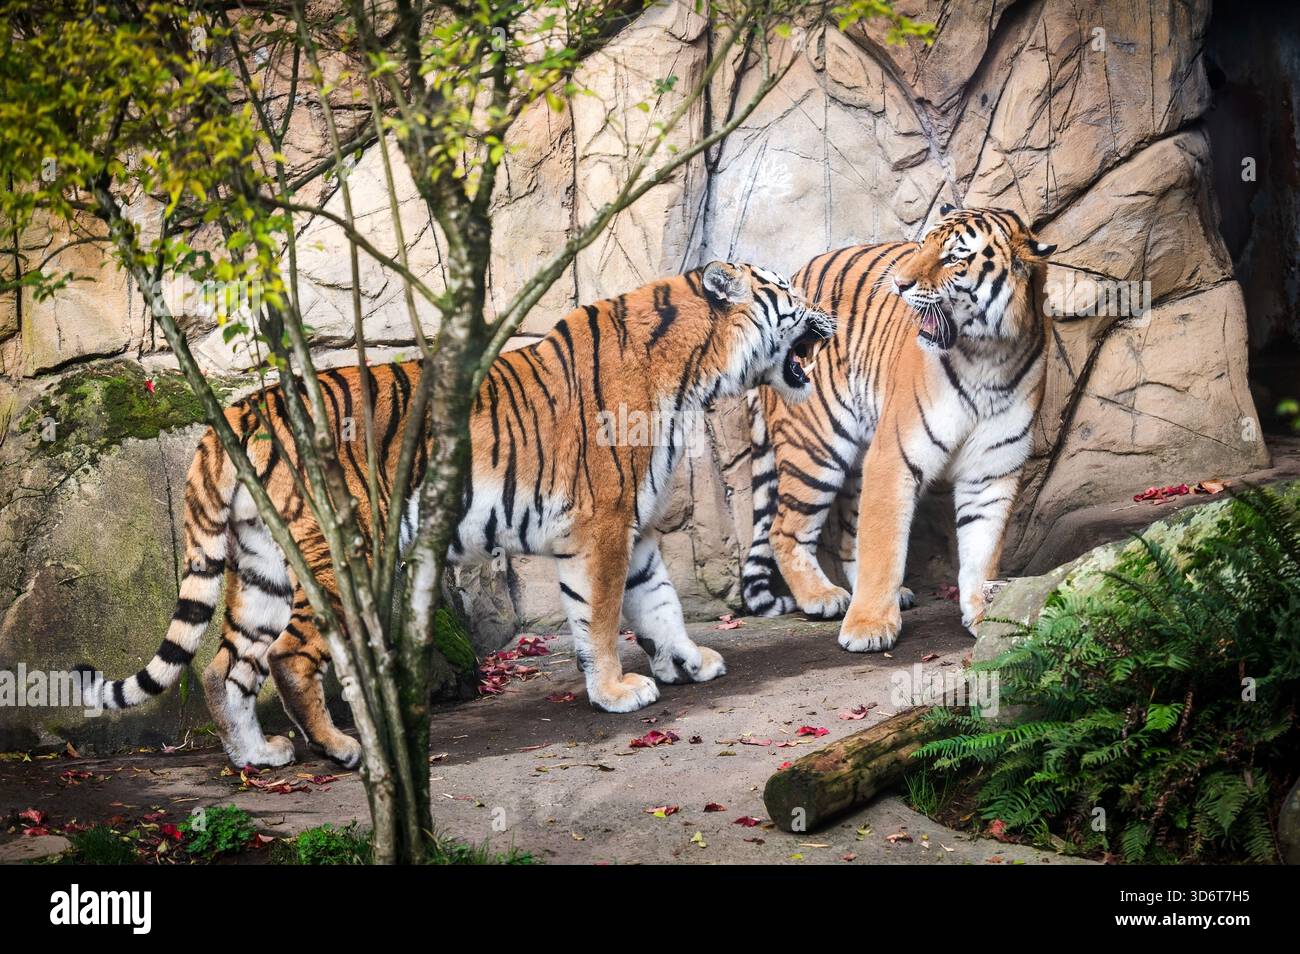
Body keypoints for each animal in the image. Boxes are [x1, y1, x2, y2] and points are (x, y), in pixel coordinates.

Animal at [86, 261, 833, 768]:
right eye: (791, 296)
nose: (826, 315)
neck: (697, 369)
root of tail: (235, 414)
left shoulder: (637, 527)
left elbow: (660, 603)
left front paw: (687, 661)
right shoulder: (603, 525)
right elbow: (601, 617)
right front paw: (619, 691)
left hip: (264, 565)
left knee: (224, 667)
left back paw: (258, 756)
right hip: (341, 557)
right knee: (288, 659)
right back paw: (341, 748)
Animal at [741, 205, 1054, 653]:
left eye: (953, 257)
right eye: (923, 245)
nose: (899, 284)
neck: (987, 355)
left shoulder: (991, 469)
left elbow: (982, 546)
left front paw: (988, 613)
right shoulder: (895, 455)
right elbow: (884, 544)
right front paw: (868, 626)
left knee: (847, 533)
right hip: (816, 446)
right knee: (784, 530)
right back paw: (824, 597)